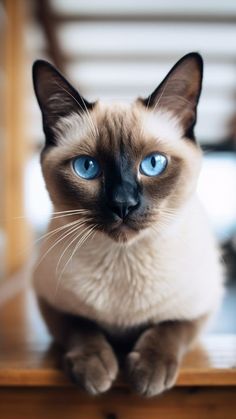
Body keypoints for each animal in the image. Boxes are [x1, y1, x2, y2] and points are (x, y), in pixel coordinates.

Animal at [32, 54, 223, 398]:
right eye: (87, 168)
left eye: (153, 164)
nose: (123, 204)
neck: (123, 259)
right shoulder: (49, 301)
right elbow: (81, 327)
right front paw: (95, 370)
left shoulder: (202, 306)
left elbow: (170, 328)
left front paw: (148, 373)